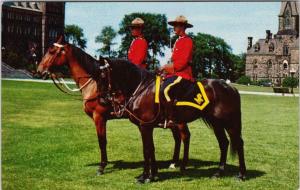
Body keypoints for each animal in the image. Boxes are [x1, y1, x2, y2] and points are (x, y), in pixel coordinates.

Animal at [37, 37, 190, 177]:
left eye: (51, 51)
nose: (39, 71)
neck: (95, 83)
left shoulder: (99, 117)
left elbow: (102, 141)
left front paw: (101, 167)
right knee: (178, 137)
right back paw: (173, 163)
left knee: (184, 136)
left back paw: (181, 164)